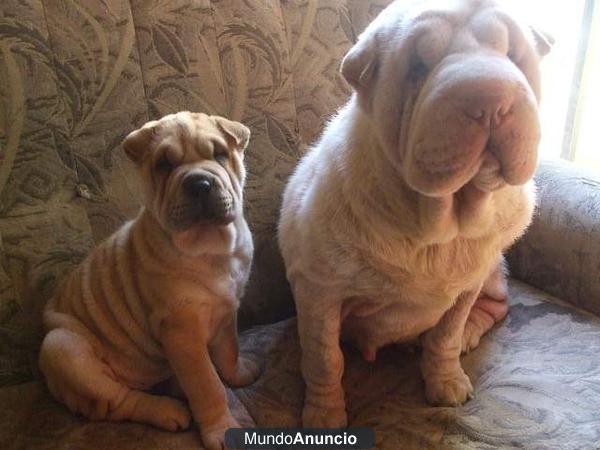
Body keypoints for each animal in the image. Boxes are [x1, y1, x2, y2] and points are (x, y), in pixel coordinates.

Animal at [278, 0, 552, 428]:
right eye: (419, 66)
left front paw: (447, 379)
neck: (444, 224)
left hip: (491, 273)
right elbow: (324, 358)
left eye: (512, 54)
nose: (490, 101)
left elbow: (445, 336)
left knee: (497, 305)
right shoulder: (318, 290)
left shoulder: (468, 282)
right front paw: (324, 415)